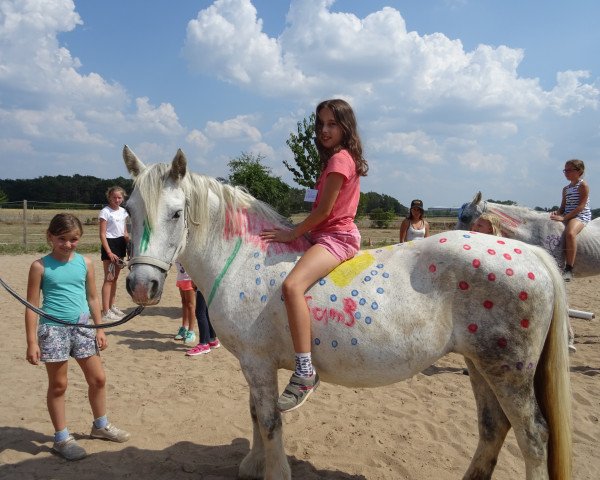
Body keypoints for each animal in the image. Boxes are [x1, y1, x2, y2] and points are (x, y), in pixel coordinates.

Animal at [120, 147, 572, 480]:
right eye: (129, 211)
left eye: (176, 213)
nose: (141, 286)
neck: (242, 259)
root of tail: (530, 252)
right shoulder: (253, 364)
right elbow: (255, 414)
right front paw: (251, 465)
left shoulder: (258, 362)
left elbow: (269, 420)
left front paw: (273, 471)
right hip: (480, 366)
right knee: (494, 428)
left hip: (507, 370)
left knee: (533, 437)